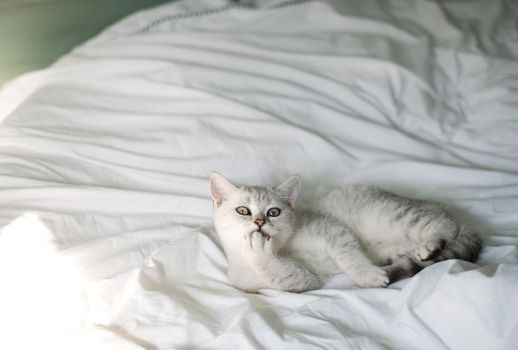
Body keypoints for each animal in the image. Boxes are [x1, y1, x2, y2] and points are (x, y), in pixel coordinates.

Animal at [210, 173, 484, 292]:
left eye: (274, 212)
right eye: (243, 210)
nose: (259, 222)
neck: (281, 249)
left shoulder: (330, 229)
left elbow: (348, 255)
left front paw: (368, 276)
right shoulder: (303, 280)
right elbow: (282, 274)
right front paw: (258, 250)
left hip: (392, 214)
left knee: (445, 225)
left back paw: (430, 246)